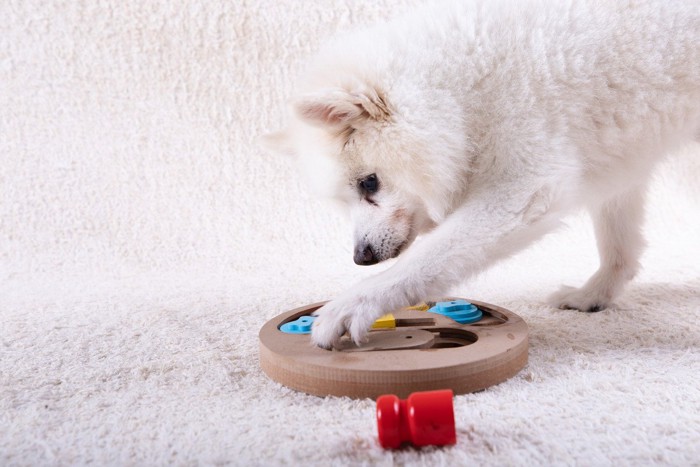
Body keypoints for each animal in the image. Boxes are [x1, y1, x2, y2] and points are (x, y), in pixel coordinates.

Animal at [264, 0, 700, 352]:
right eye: (346, 198)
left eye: (369, 183)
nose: (361, 257)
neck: (462, 87)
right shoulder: (620, 161)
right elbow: (619, 245)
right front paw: (595, 294)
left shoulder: (524, 189)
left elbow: (428, 258)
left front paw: (354, 303)